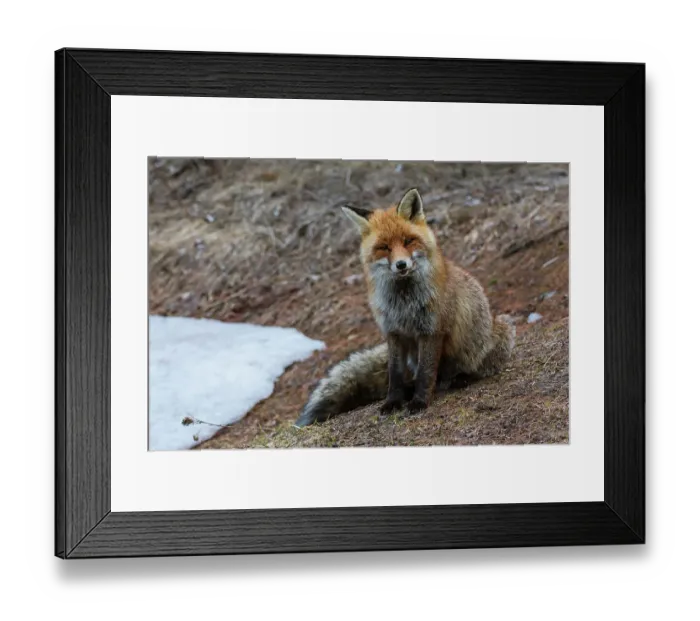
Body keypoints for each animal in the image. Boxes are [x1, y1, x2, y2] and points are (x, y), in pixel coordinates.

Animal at [295, 188, 515, 427]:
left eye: (409, 241)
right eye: (384, 247)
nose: (401, 265)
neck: (404, 302)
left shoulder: (432, 330)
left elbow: (426, 374)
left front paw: (419, 402)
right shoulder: (393, 332)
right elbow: (395, 375)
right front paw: (393, 402)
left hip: (498, 333)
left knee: (474, 368)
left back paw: (460, 378)